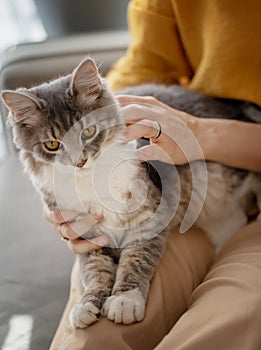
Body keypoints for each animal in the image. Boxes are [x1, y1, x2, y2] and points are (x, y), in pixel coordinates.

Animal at [1, 57, 258, 328]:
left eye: (88, 132)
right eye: (52, 145)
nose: (79, 162)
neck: (92, 180)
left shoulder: (148, 217)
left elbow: (136, 260)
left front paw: (125, 301)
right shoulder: (87, 232)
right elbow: (94, 271)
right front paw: (87, 303)